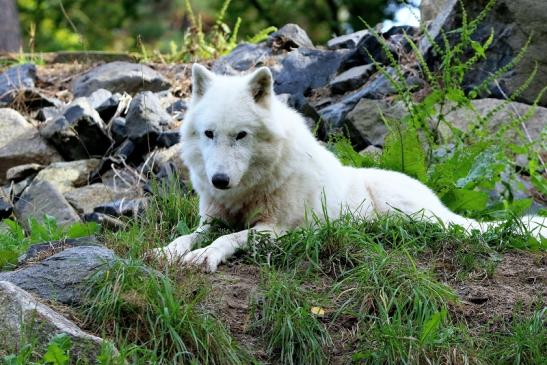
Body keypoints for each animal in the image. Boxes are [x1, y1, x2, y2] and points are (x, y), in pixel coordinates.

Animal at [151, 64, 547, 272]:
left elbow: (227, 238)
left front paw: (205, 255)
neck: (250, 189)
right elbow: (189, 234)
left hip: (404, 211)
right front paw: (169, 251)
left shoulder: (275, 228)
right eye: (209, 134)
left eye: (241, 135)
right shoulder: (211, 218)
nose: (219, 180)